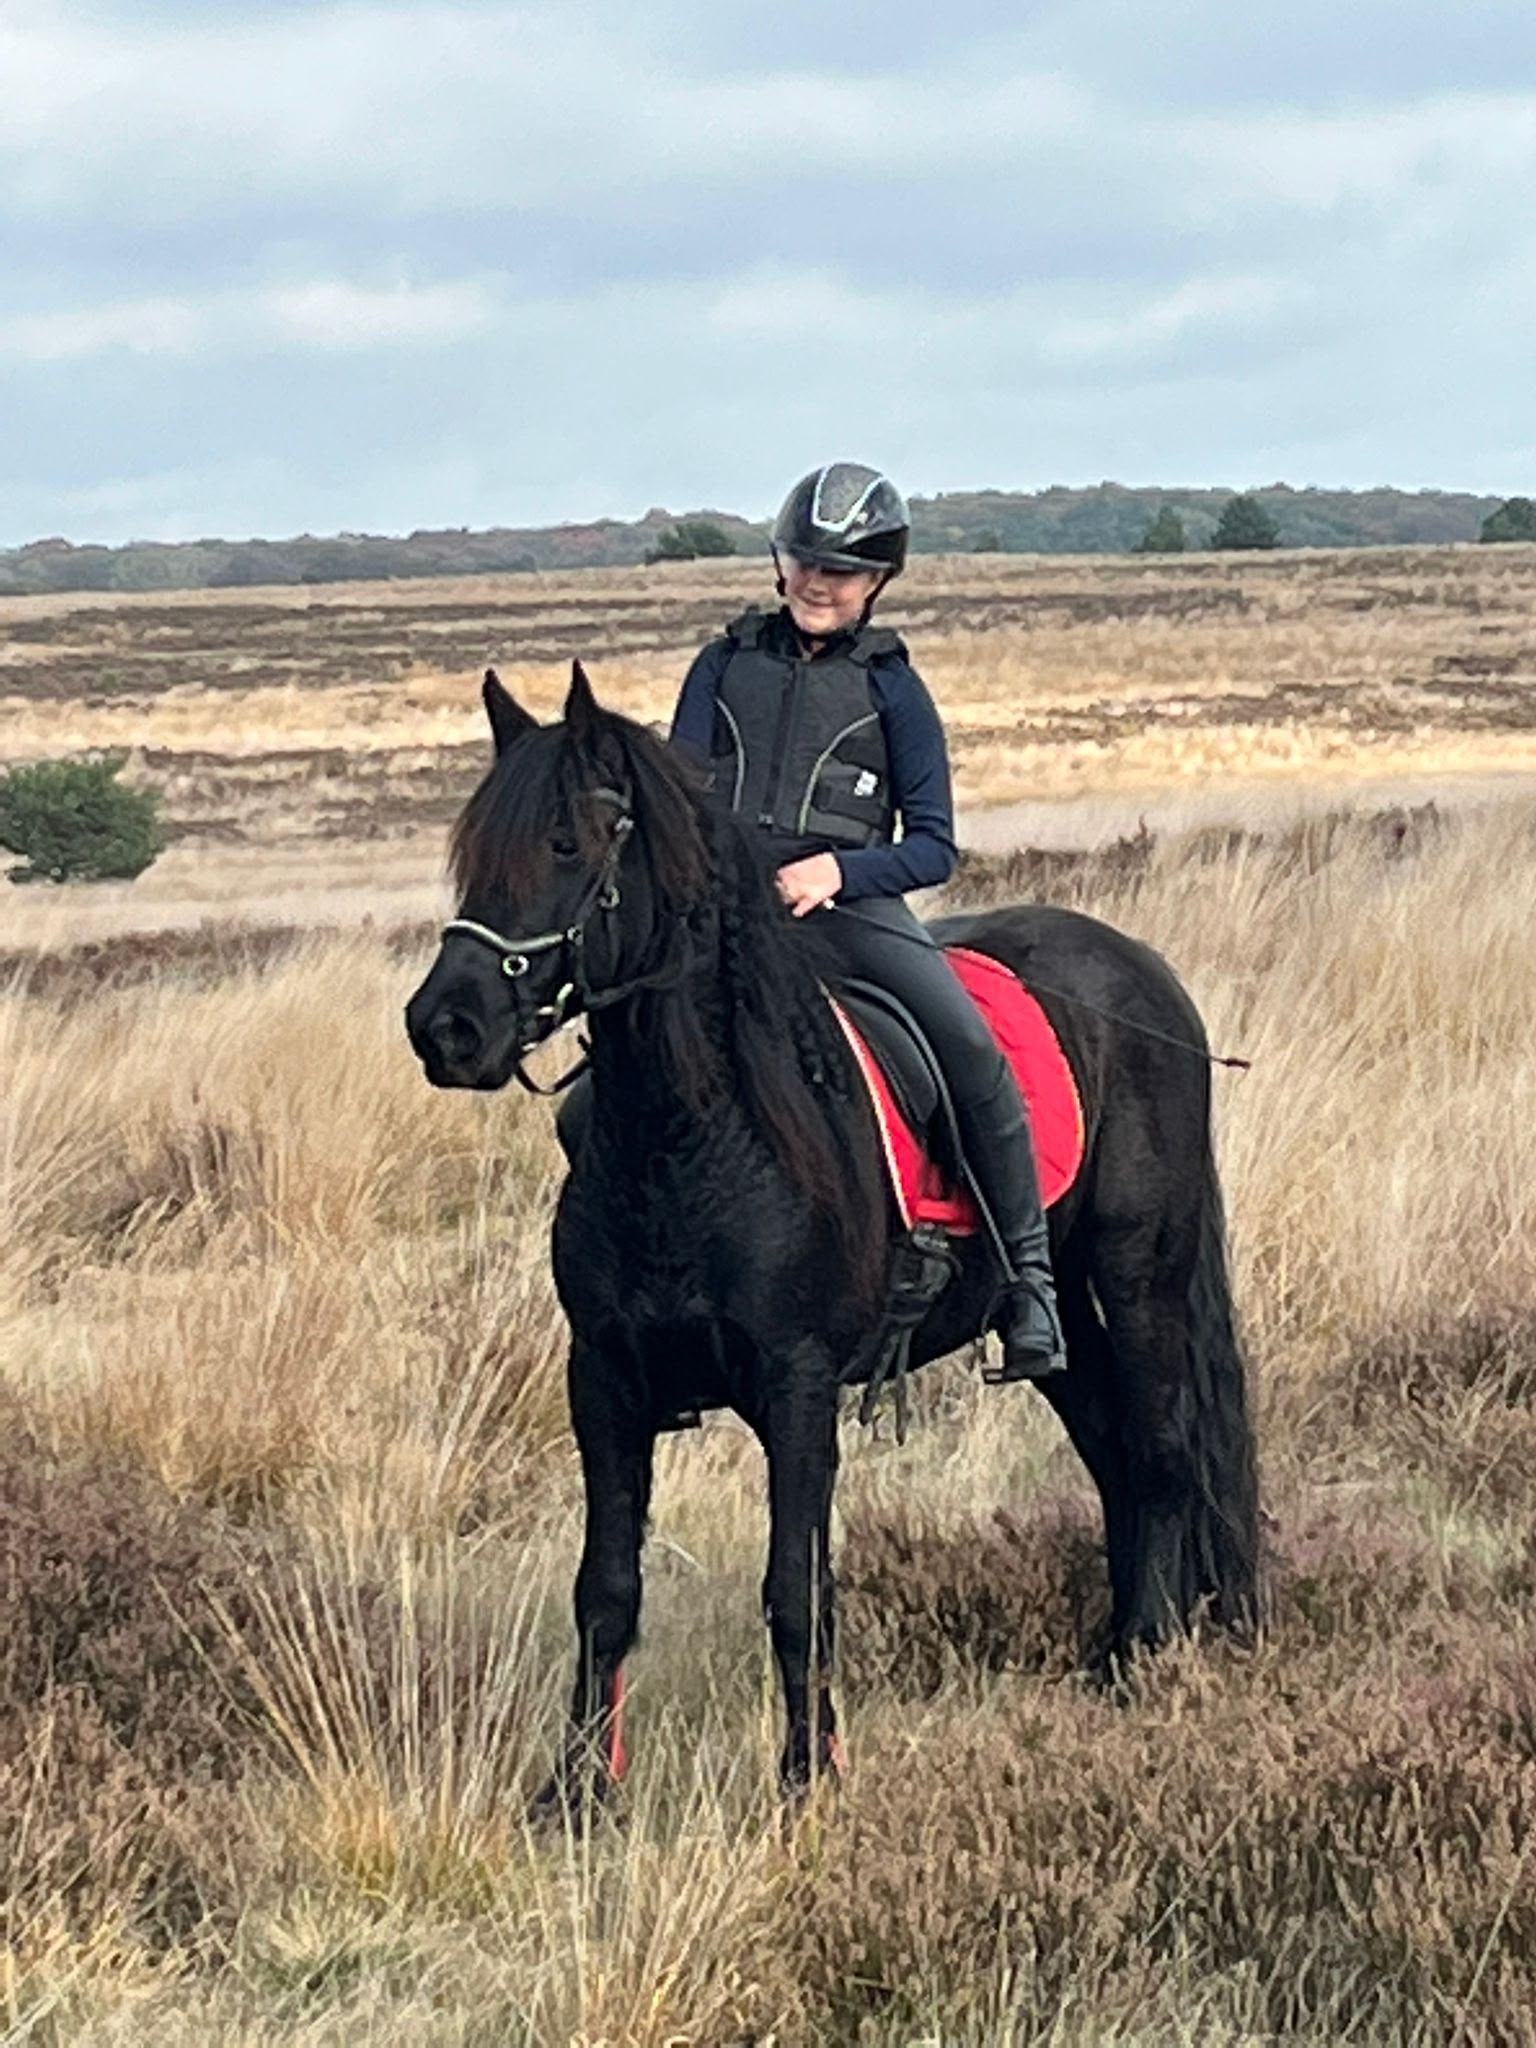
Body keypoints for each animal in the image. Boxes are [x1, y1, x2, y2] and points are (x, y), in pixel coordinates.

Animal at [405, 663, 1261, 1802]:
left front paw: (808, 1775)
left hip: (1140, 1275)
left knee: (1162, 1454)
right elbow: (607, 1589)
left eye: (568, 843)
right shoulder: (605, 1382)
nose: (445, 1028)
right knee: (1115, 1454)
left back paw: (1145, 1660)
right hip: (1059, 1324)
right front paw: (577, 1790)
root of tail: (1146, 976)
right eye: (473, 854)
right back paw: (1112, 1651)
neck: (693, 1139)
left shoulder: (798, 1385)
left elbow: (796, 1585)